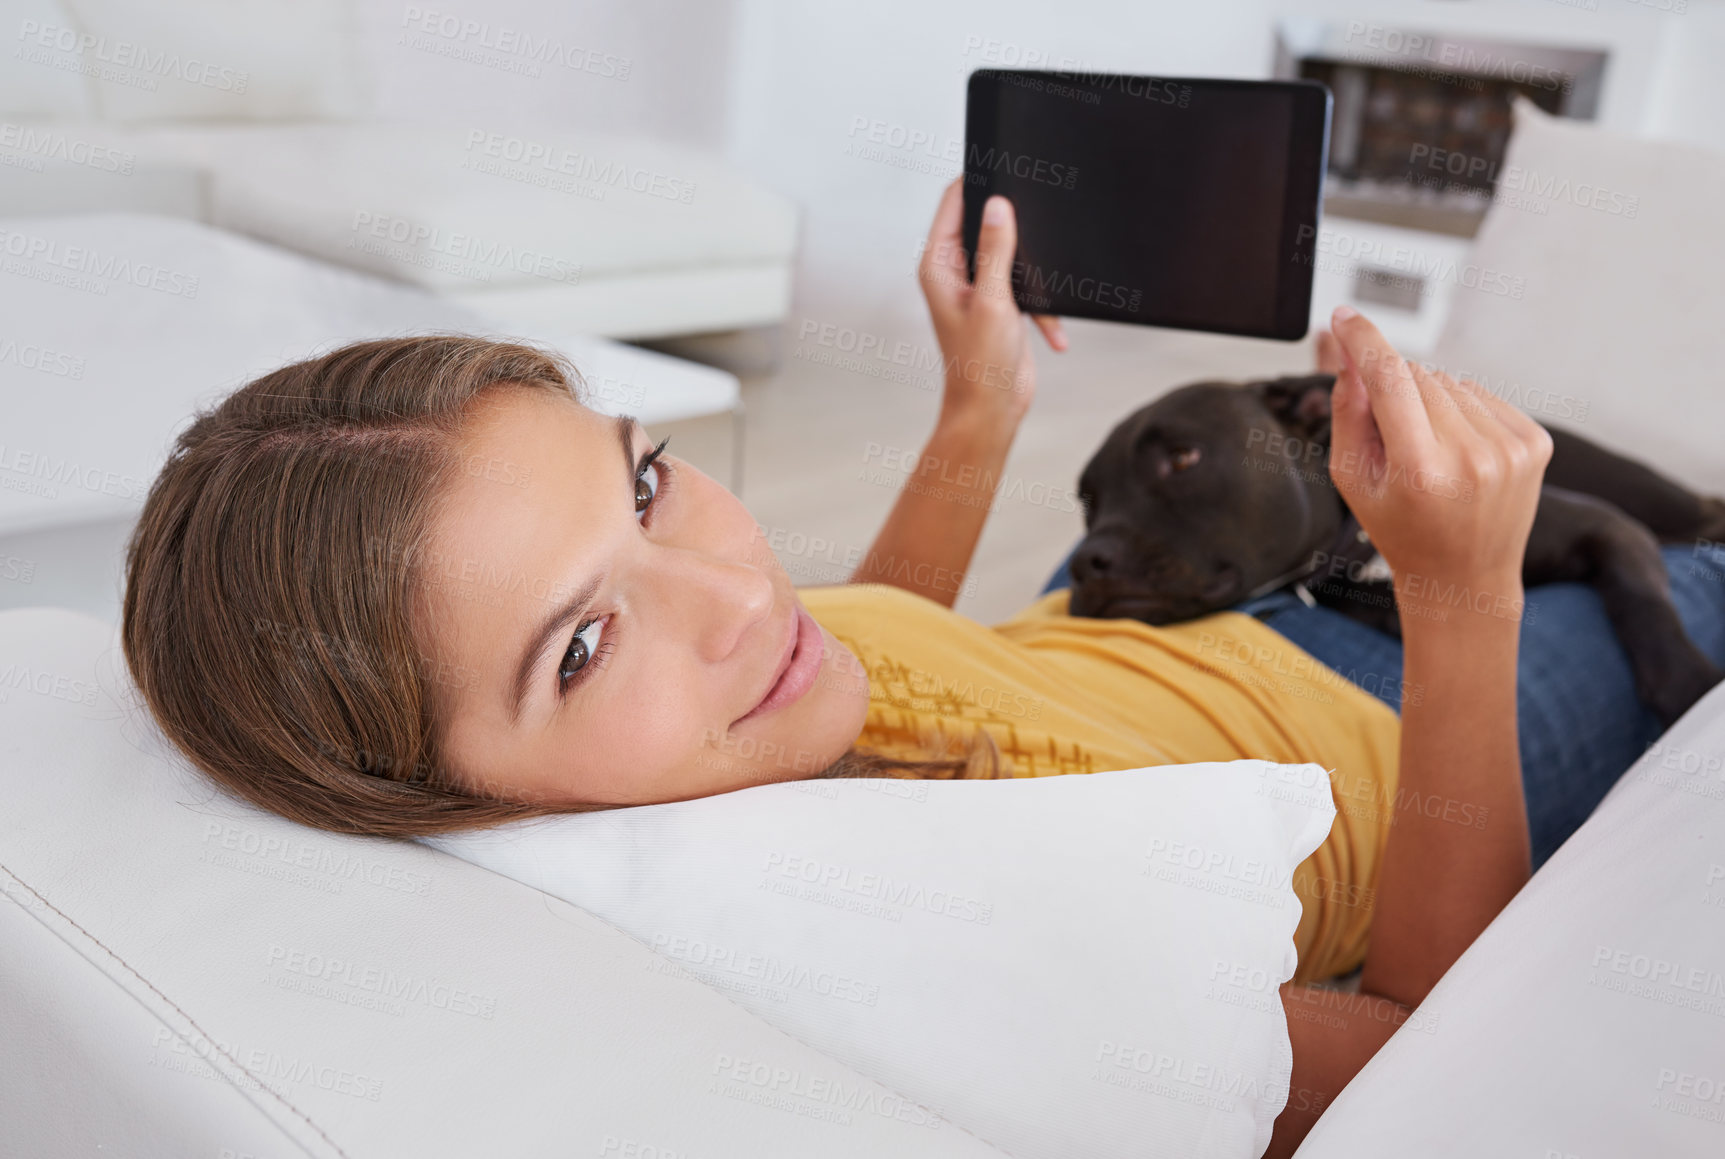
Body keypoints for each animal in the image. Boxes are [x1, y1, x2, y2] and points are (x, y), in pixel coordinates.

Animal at [1069, 374, 1718, 724]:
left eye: (1184, 458)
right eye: (1088, 501)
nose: (1085, 562)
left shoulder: (1608, 525)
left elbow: (1641, 598)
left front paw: (1687, 682)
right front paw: (1394, 613)